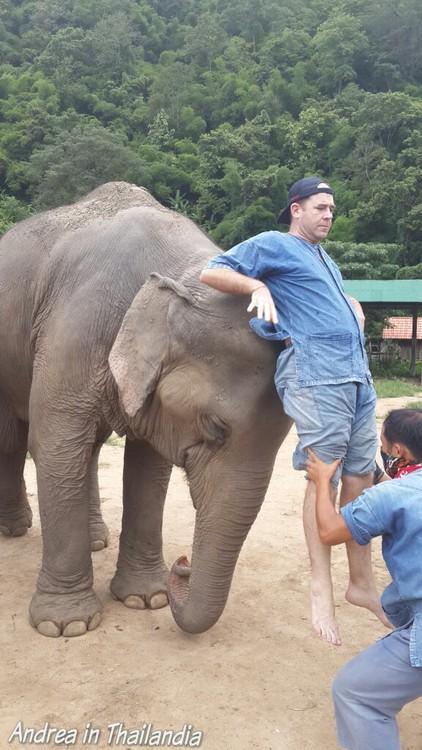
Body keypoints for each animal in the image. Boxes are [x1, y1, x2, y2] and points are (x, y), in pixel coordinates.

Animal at [0, 184, 290, 640]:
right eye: (215, 427)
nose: (183, 564)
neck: (182, 275)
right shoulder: (73, 327)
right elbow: (55, 445)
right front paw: (66, 626)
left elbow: (149, 467)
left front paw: (144, 600)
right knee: (13, 439)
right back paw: (14, 530)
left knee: (88, 448)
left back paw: (95, 540)